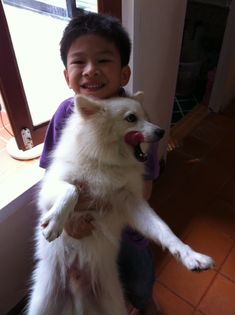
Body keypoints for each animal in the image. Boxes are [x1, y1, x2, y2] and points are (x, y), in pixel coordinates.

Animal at [26, 92, 214, 315]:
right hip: (42, 304)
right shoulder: (50, 188)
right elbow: (71, 191)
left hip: (113, 304)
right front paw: (55, 222)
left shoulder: (131, 201)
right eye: (131, 118)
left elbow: (164, 230)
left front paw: (189, 255)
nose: (161, 131)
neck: (106, 162)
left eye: (146, 116)